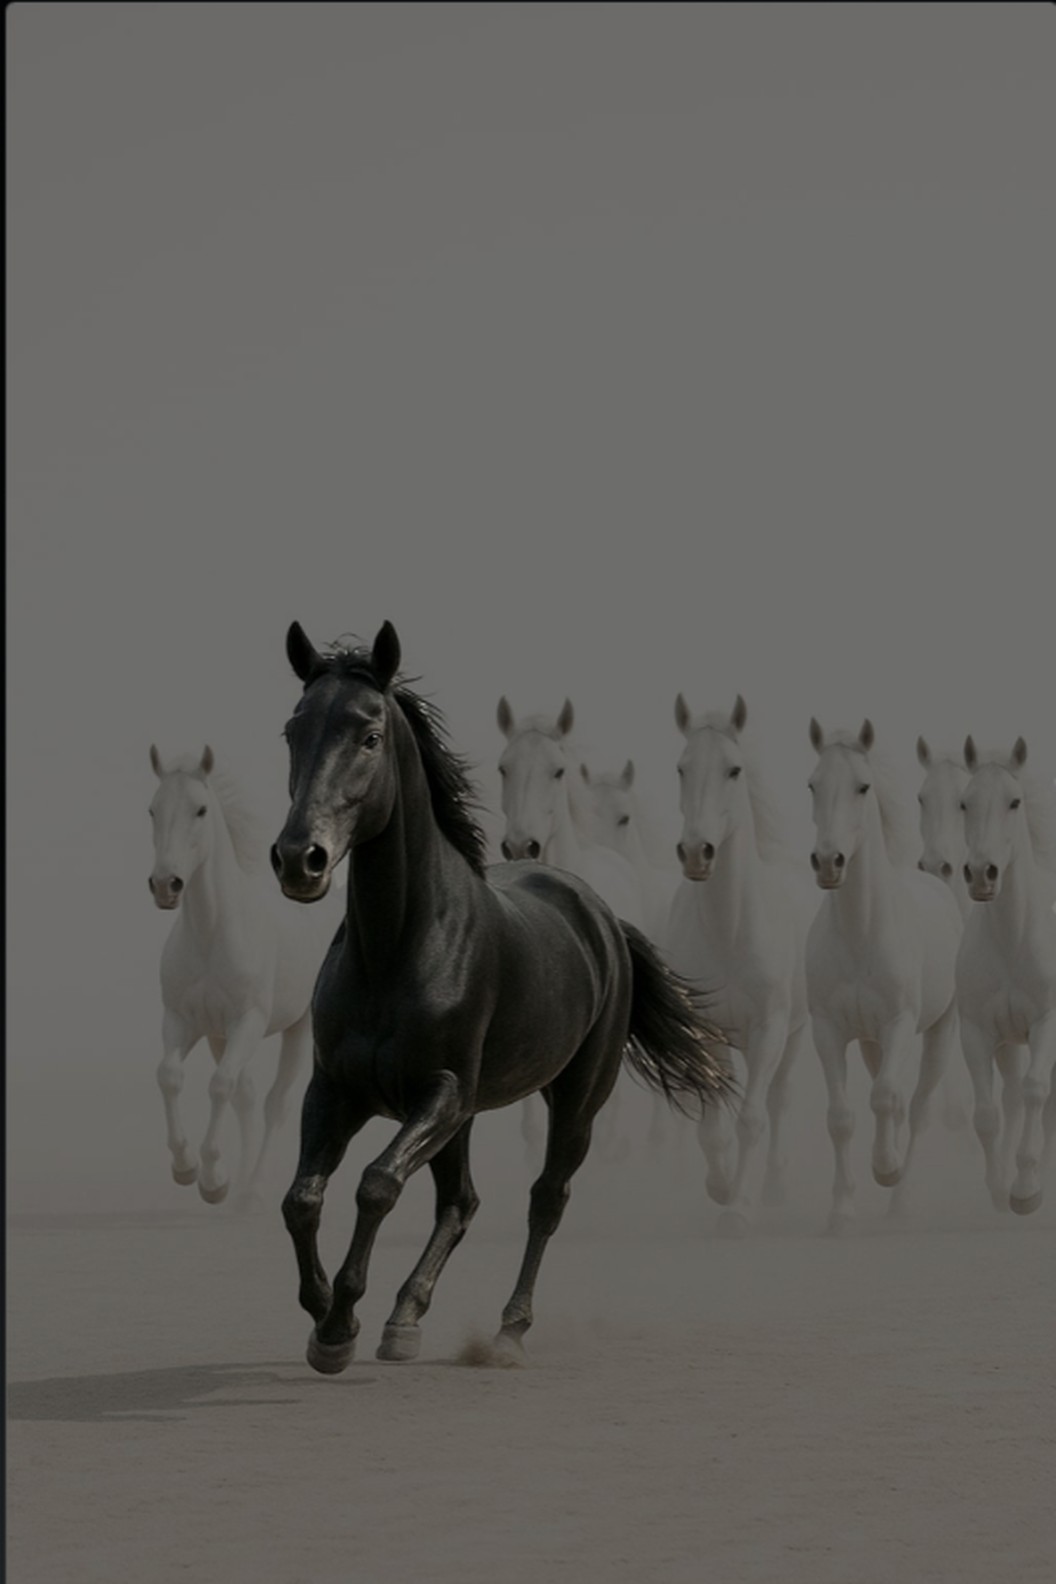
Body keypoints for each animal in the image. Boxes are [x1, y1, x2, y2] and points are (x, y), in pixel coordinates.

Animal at [148, 746, 338, 1210]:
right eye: (153, 810)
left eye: (200, 810)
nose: (166, 885)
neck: (212, 936)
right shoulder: (184, 1021)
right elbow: (170, 1076)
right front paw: (188, 1169)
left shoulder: (247, 1023)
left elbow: (220, 1086)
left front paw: (213, 1178)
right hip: (219, 1036)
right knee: (247, 1099)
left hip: (299, 1027)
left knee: (275, 1103)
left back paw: (252, 1190)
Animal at [270, 621, 733, 1375]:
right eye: (293, 729)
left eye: (368, 734)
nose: (297, 859)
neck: (396, 949)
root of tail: (601, 916)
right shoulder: (336, 1090)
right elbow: (303, 1199)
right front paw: (323, 1318)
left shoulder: (443, 1091)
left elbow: (376, 1183)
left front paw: (341, 1322)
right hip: (462, 1118)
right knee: (462, 1201)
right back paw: (404, 1319)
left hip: (575, 1098)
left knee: (545, 1200)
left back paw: (509, 1330)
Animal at [664, 693, 817, 1234]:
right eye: (682, 768)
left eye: (733, 770)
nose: (696, 851)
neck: (730, 933)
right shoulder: (706, 1030)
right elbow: (713, 1123)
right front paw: (721, 1186)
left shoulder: (768, 1027)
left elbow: (753, 1117)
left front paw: (739, 1210)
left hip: (790, 1036)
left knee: (776, 1100)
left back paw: (772, 1188)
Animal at [805, 719, 963, 1232]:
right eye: (813, 785)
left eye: (862, 786)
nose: (828, 861)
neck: (861, 933)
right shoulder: (828, 1030)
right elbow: (841, 1117)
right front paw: (841, 1210)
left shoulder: (898, 1024)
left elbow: (887, 1098)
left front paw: (886, 1170)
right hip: (871, 1042)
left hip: (938, 1030)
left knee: (917, 1106)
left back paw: (900, 1199)